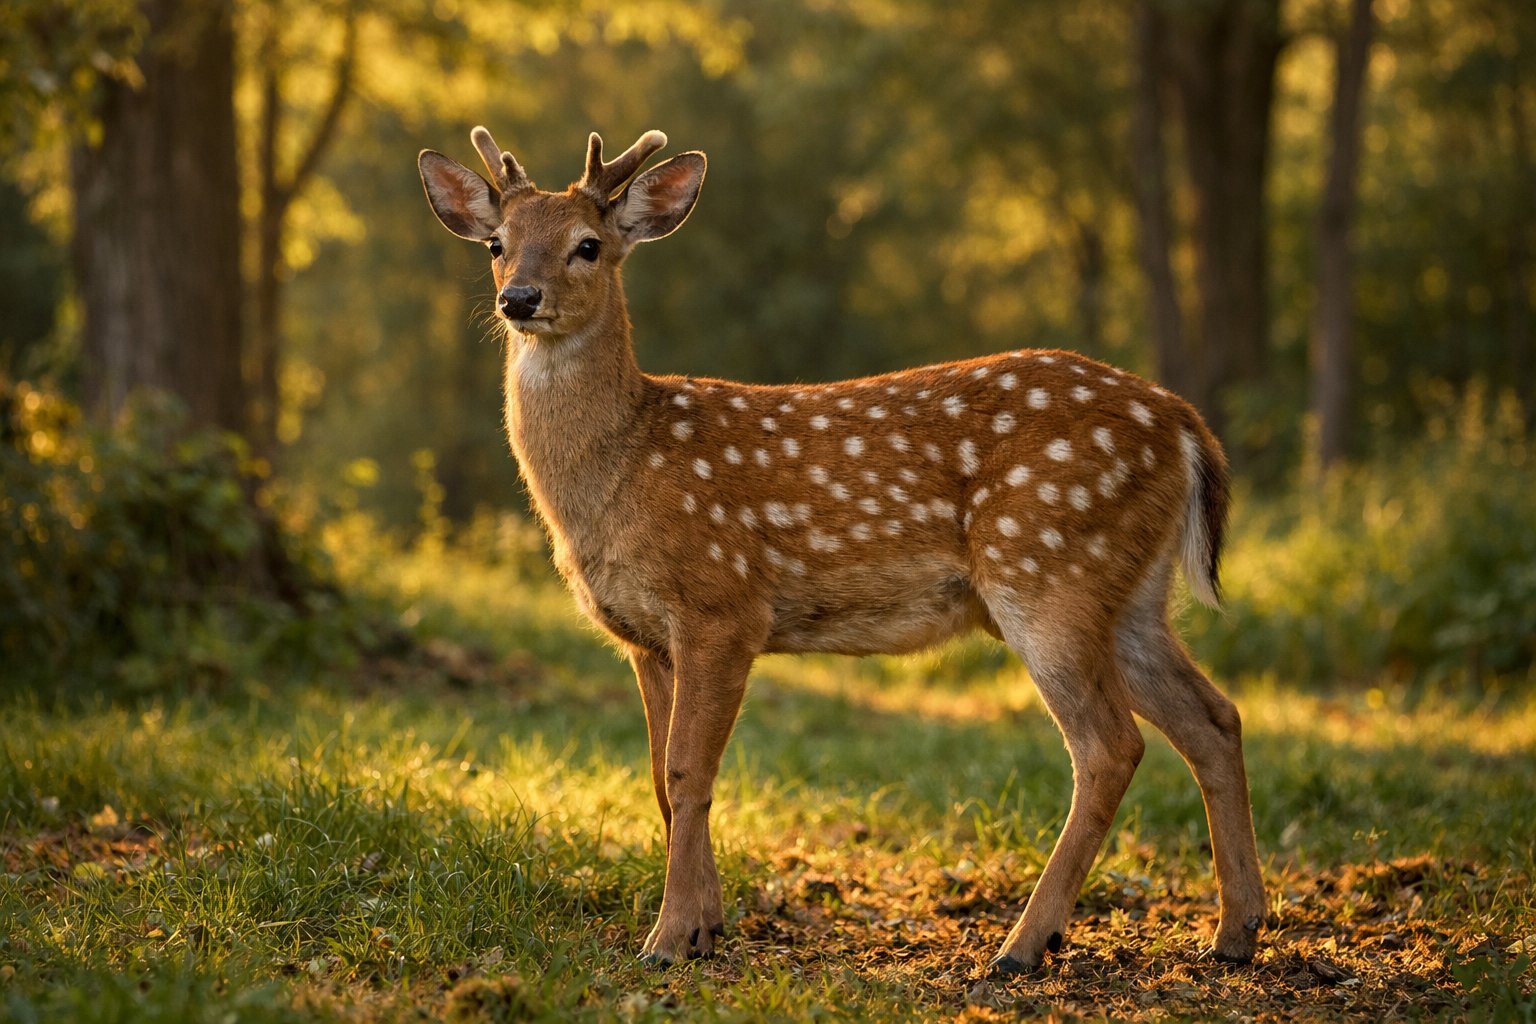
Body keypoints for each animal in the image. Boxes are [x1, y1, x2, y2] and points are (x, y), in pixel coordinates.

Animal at [417, 126, 1267, 976]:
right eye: (497, 243)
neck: (623, 469)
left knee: (1110, 745)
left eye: (587, 246)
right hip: (1130, 599)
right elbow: (660, 779)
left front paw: (666, 941)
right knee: (1214, 716)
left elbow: (690, 772)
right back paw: (1235, 931)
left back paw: (1023, 945)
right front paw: (706, 927)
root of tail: (1185, 425)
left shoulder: (723, 605)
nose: (519, 299)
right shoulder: (645, 637)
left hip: (1048, 569)